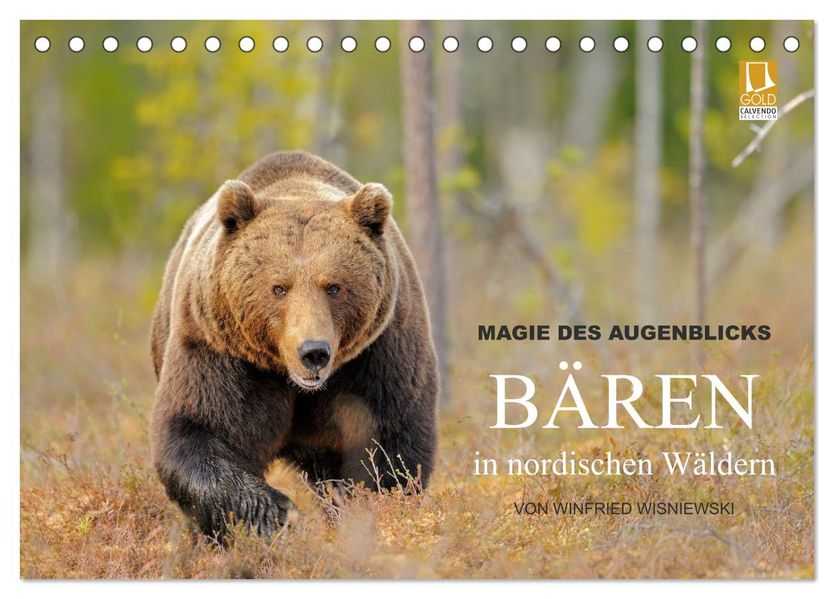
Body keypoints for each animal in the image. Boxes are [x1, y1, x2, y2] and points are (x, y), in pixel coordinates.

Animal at [150, 151, 439, 539]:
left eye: (334, 286)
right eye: (279, 288)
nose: (313, 352)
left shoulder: (378, 354)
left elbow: (388, 447)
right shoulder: (220, 349)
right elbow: (199, 429)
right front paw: (277, 513)